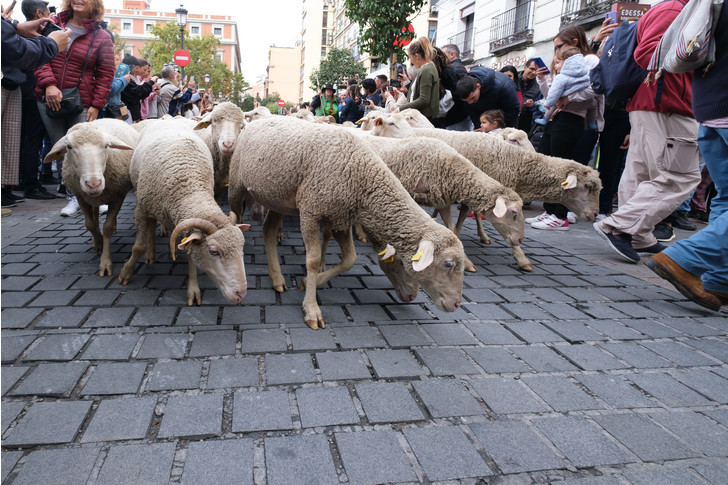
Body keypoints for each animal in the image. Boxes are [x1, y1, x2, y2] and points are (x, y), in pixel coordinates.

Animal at [43, 117, 138, 276]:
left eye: (106, 146)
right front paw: (99, 242)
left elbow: (107, 226)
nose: (93, 184)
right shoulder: (80, 195)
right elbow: (90, 224)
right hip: (91, 198)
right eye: (69, 147)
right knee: (95, 214)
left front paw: (105, 262)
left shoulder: (118, 194)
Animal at [119, 119, 250, 304]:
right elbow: (138, 247)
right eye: (214, 252)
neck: (190, 188)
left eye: (241, 246)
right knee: (150, 227)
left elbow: (190, 255)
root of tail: (167, 119)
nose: (241, 294)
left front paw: (193, 289)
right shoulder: (142, 211)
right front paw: (125, 273)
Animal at [229, 115, 466, 330]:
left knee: (268, 230)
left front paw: (308, 282)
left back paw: (277, 279)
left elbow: (350, 259)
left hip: (277, 198)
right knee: (237, 218)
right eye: (448, 264)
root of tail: (258, 119)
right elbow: (313, 260)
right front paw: (311, 308)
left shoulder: (340, 218)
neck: (362, 178)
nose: (455, 305)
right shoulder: (310, 212)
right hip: (236, 185)